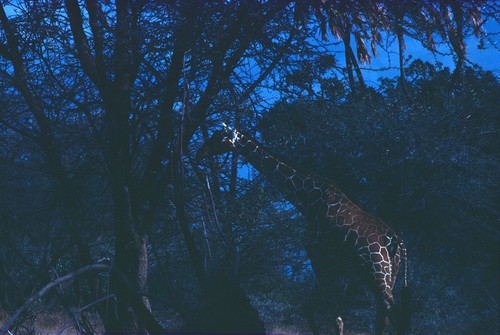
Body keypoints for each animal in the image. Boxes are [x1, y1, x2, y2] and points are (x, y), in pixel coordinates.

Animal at [196, 124, 410, 335]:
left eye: (218, 137)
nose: (199, 152)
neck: (308, 201)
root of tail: (396, 240)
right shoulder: (331, 267)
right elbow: (331, 315)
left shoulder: (319, 259)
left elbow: (319, 311)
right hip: (390, 274)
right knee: (385, 316)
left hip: (376, 273)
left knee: (393, 314)